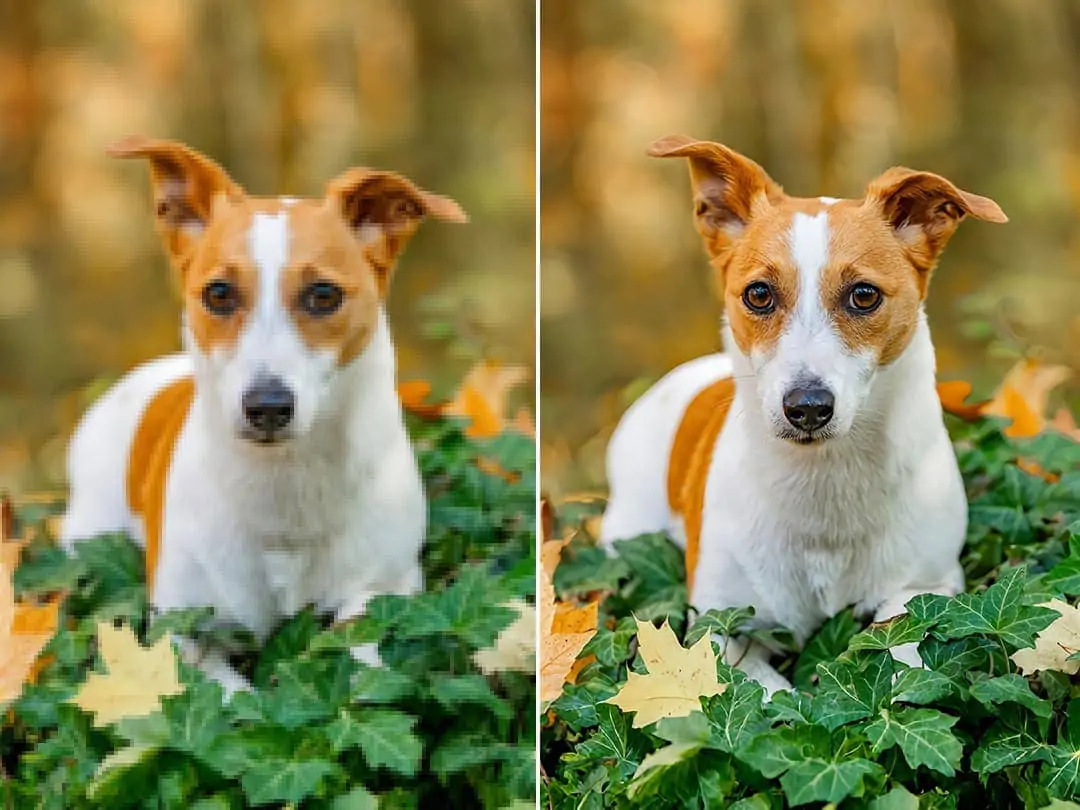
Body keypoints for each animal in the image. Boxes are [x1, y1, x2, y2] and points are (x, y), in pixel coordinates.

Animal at [59, 136, 464, 695]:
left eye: (324, 295)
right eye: (218, 293)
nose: (267, 407)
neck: (284, 484)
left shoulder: (385, 589)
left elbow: (363, 658)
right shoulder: (179, 630)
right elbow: (228, 699)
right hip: (88, 532)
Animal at [604, 136, 1006, 695]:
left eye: (864, 295)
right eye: (758, 294)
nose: (808, 408)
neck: (823, 481)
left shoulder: (927, 587)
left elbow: (904, 654)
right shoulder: (719, 628)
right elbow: (768, 696)